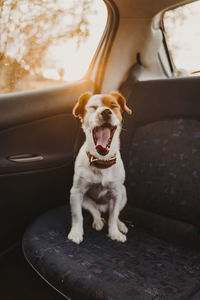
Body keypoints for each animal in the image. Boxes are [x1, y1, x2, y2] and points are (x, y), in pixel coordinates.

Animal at [68, 91, 132, 244]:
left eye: (114, 106)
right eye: (93, 107)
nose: (106, 112)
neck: (101, 161)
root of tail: (103, 207)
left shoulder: (116, 194)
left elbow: (113, 217)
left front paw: (114, 233)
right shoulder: (76, 193)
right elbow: (77, 216)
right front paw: (76, 233)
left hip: (123, 193)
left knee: (113, 214)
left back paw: (120, 225)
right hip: (85, 201)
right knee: (95, 211)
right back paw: (98, 221)